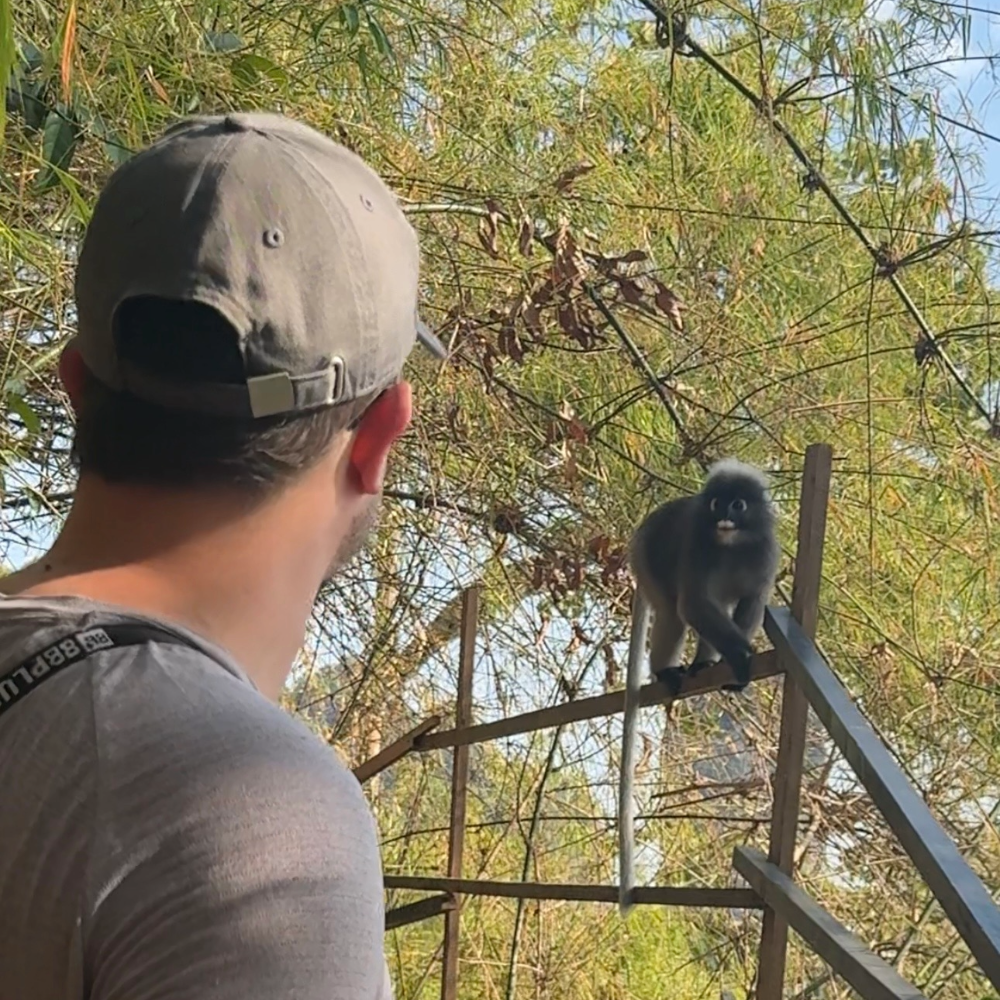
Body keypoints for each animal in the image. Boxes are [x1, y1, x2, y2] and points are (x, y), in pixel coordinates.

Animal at [618, 458, 778, 915]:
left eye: (738, 504)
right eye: (716, 502)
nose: (722, 514)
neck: (732, 544)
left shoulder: (763, 556)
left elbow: (751, 603)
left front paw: (732, 663)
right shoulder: (697, 545)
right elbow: (692, 605)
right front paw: (740, 657)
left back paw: (705, 662)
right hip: (650, 560)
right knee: (675, 613)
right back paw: (665, 672)